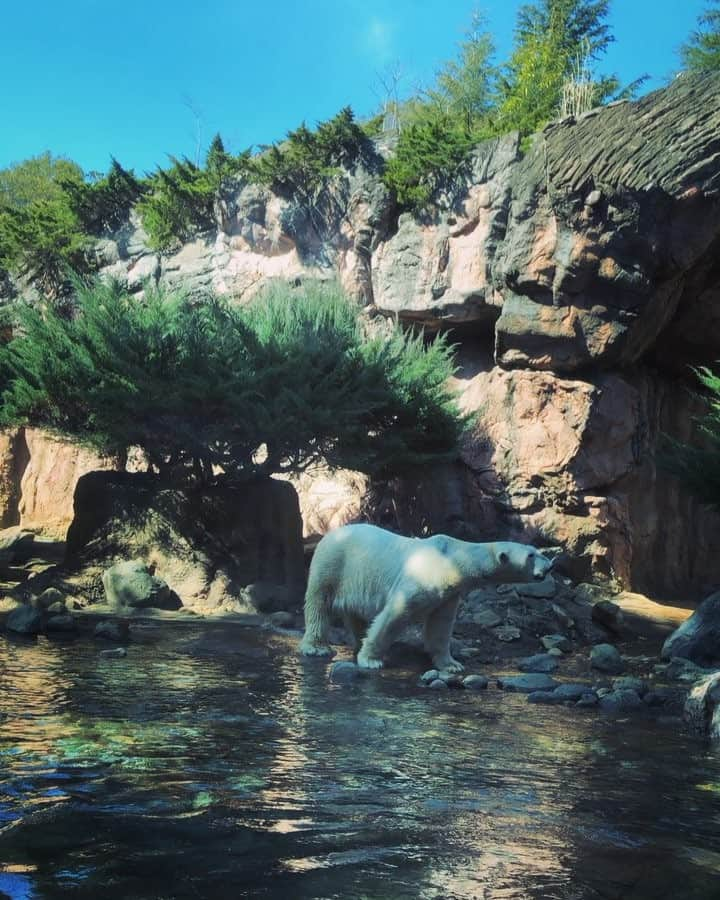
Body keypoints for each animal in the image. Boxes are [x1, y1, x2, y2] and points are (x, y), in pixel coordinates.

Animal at [300, 524, 556, 672]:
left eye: (537, 550)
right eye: (531, 555)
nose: (550, 565)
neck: (452, 560)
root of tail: (329, 533)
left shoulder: (449, 593)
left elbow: (440, 626)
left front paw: (452, 665)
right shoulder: (419, 578)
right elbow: (394, 615)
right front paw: (371, 660)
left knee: (355, 613)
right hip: (334, 563)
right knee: (319, 602)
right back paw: (316, 647)